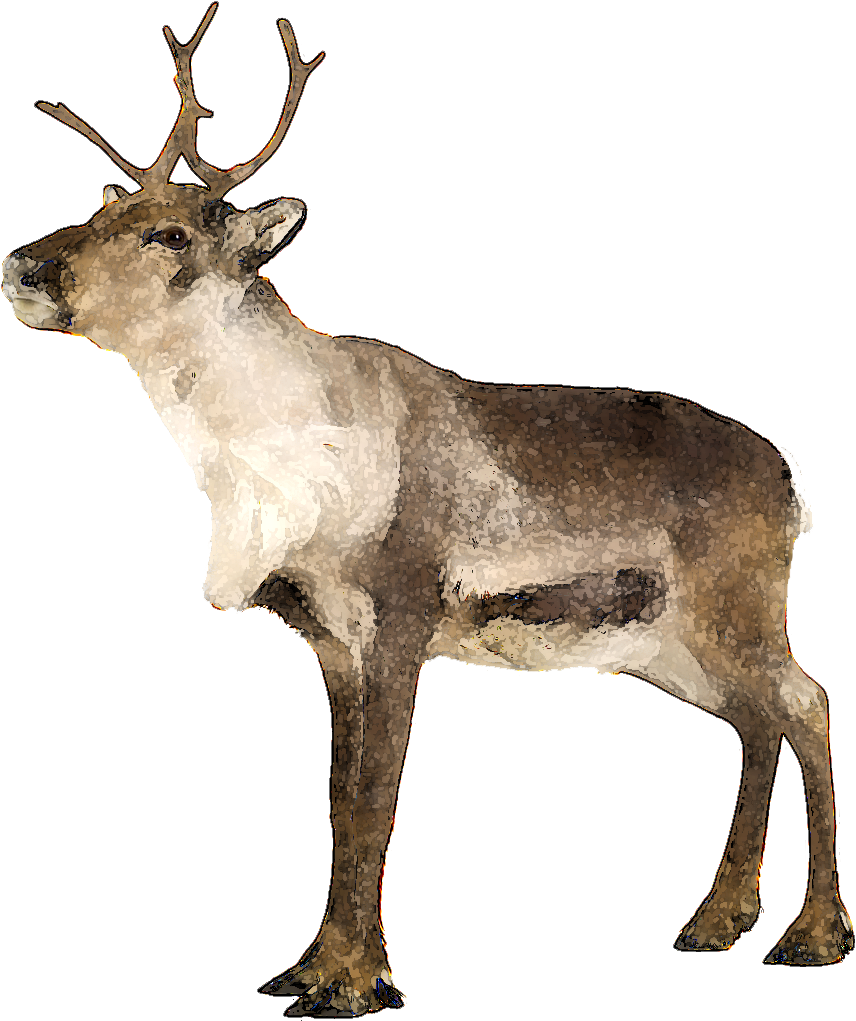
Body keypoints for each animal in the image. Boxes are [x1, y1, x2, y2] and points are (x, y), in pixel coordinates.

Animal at [4, 2, 851, 1011]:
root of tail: (789, 473)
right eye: (101, 210)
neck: (288, 462)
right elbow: (338, 801)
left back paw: (815, 936)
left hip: (736, 608)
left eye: (169, 234)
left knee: (807, 702)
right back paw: (713, 923)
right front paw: (305, 970)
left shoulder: (403, 613)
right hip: (665, 641)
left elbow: (376, 797)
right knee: (757, 721)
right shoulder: (330, 639)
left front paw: (355, 982)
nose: (22, 266)